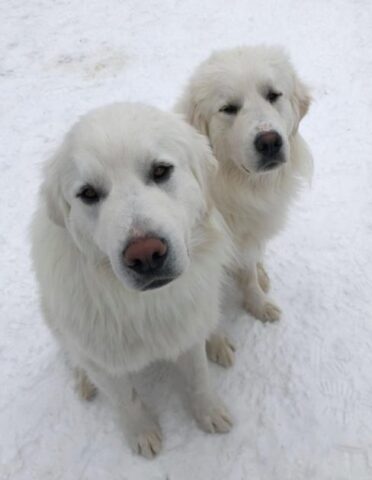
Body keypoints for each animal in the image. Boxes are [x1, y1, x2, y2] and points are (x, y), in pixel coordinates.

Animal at [30, 103, 232, 460]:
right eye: (88, 193)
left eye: (161, 171)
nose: (145, 254)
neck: (144, 306)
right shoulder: (102, 361)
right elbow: (127, 399)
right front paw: (143, 433)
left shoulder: (188, 330)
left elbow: (198, 377)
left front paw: (208, 413)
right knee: (72, 353)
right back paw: (83, 380)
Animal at [177, 46, 314, 322]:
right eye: (229, 108)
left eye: (273, 95)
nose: (269, 142)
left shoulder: (246, 240)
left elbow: (249, 274)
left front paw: (259, 305)